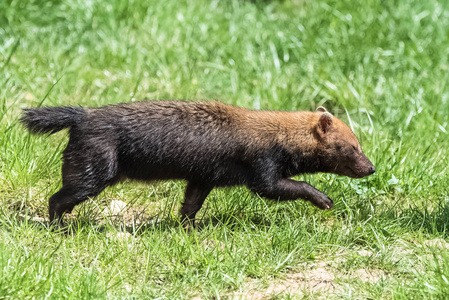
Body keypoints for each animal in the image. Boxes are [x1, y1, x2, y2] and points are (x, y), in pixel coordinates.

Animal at [20, 99, 374, 229]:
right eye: (352, 146)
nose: (371, 167)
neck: (275, 133)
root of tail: (82, 115)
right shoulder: (262, 166)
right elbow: (277, 187)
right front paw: (324, 199)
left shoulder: (205, 175)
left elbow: (191, 203)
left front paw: (187, 227)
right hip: (95, 169)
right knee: (57, 198)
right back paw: (58, 227)